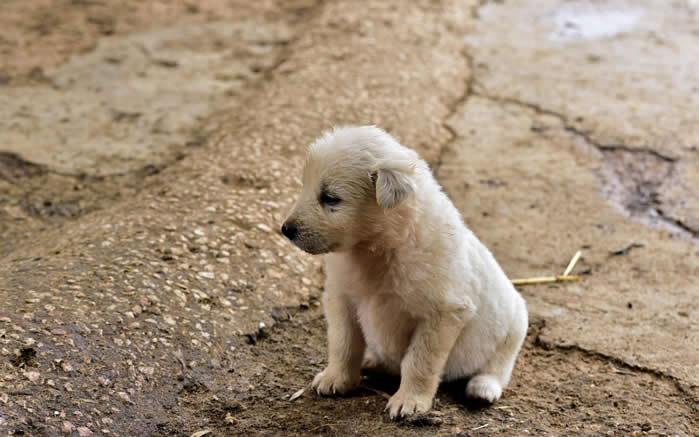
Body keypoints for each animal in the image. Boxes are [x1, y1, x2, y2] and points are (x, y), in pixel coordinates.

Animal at [282, 124, 528, 418]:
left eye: (330, 198)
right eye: (304, 187)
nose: (286, 229)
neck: (378, 248)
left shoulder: (443, 313)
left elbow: (419, 360)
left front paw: (409, 401)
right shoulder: (341, 297)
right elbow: (343, 342)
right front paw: (336, 378)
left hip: (514, 327)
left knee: (498, 367)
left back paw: (482, 388)